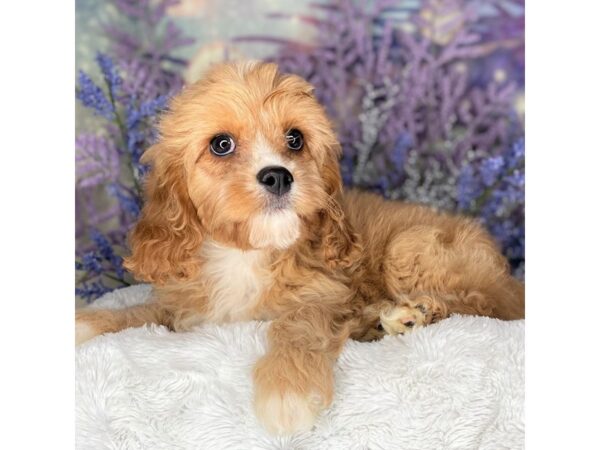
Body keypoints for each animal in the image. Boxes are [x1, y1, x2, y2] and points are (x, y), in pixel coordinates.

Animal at [76, 60, 524, 436]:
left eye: (295, 139)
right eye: (221, 144)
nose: (278, 175)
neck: (249, 252)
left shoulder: (325, 295)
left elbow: (298, 325)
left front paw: (286, 389)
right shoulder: (189, 310)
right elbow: (145, 312)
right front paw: (91, 321)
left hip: (411, 246)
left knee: (484, 306)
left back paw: (413, 313)